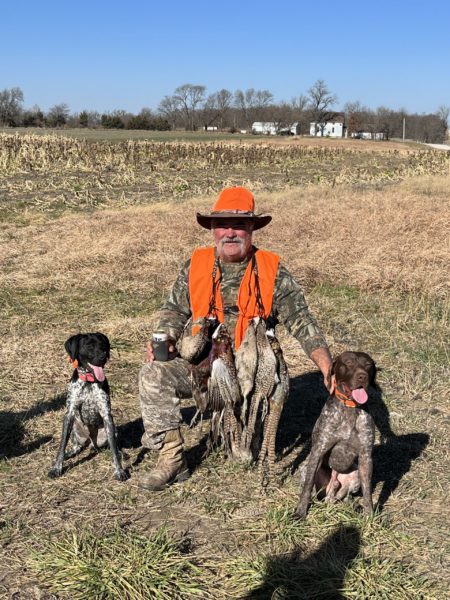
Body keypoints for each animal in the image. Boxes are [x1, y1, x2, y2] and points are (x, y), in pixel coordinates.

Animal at [47, 330, 127, 480]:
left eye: (103, 345)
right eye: (89, 346)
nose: (103, 357)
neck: (89, 381)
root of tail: (91, 443)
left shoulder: (106, 415)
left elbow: (113, 449)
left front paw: (119, 470)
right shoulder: (69, 414)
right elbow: (62, 446)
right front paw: (57, 468)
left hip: (113, 429)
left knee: (112, 446)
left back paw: (121, 454)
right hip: (74, 427)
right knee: (77, 447)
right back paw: (70, 453)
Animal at [296, 354, 376, 516]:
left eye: (368, 364)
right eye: (348, 362)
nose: (362, 376)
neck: (350, 407)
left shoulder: (366, 457)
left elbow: (367, 493)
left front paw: (369, 516)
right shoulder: (318, 451)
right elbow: (307, 487)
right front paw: (301, 512)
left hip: (355, 475)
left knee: (345, 496)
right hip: (305, 468)